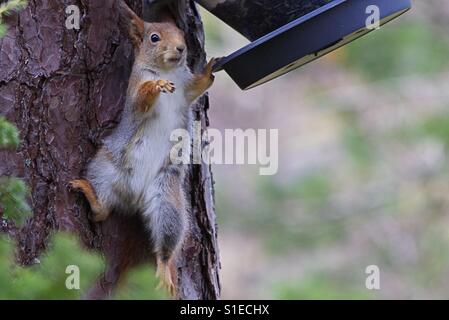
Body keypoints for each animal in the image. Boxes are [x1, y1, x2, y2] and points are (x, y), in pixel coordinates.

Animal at [69, 1, 216, 298]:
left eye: (182, 35)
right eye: (154, 38)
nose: (181, 49)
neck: (168, 71)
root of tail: (134, 198)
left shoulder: (186, 87)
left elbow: (197, 87)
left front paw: (208, 71)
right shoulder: (135, 88)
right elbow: (142, 98)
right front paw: (156, 86)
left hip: (166, 198)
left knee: (164, 247)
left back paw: (164, 269)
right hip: (103, 168)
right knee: (102, 211)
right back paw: (89, 193)